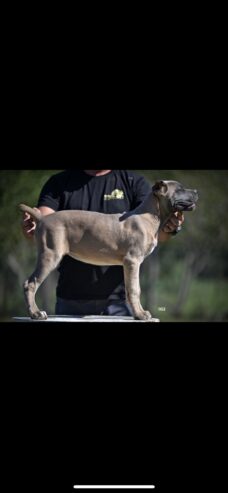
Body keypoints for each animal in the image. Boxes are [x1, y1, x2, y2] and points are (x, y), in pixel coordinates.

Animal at [19, 180, 198, 320]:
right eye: (180, 189)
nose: (197, 192)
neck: (150, 215)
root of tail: (42, 218)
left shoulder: (131, 263)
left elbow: (134, 288)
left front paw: (139, 313)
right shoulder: (132, 261)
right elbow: (135, 289)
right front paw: (140, 315)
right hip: (50, 254)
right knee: (31, 283)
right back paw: (36, 314)